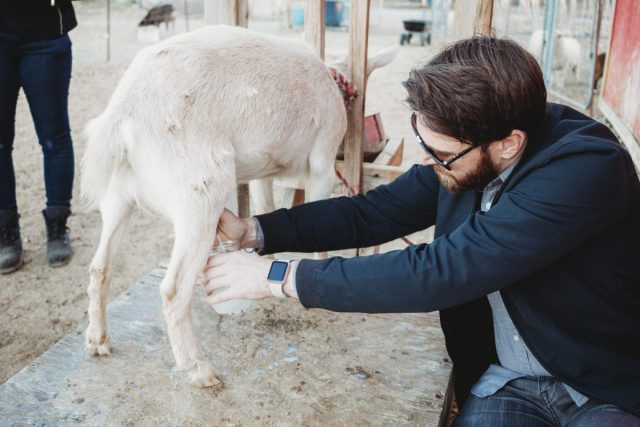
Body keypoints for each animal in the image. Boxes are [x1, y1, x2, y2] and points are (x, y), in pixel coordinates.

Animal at [81, 25, 396, 390]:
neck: (332, 74)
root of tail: (125, 111)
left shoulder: (264, 171)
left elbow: (267, 204)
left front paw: (267, 258)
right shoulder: (322, 162)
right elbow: (318, 209)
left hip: (118, 194)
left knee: (100, 267)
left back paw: (98, 341)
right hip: (200, 191)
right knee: (173, 289)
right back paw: (199, 370)